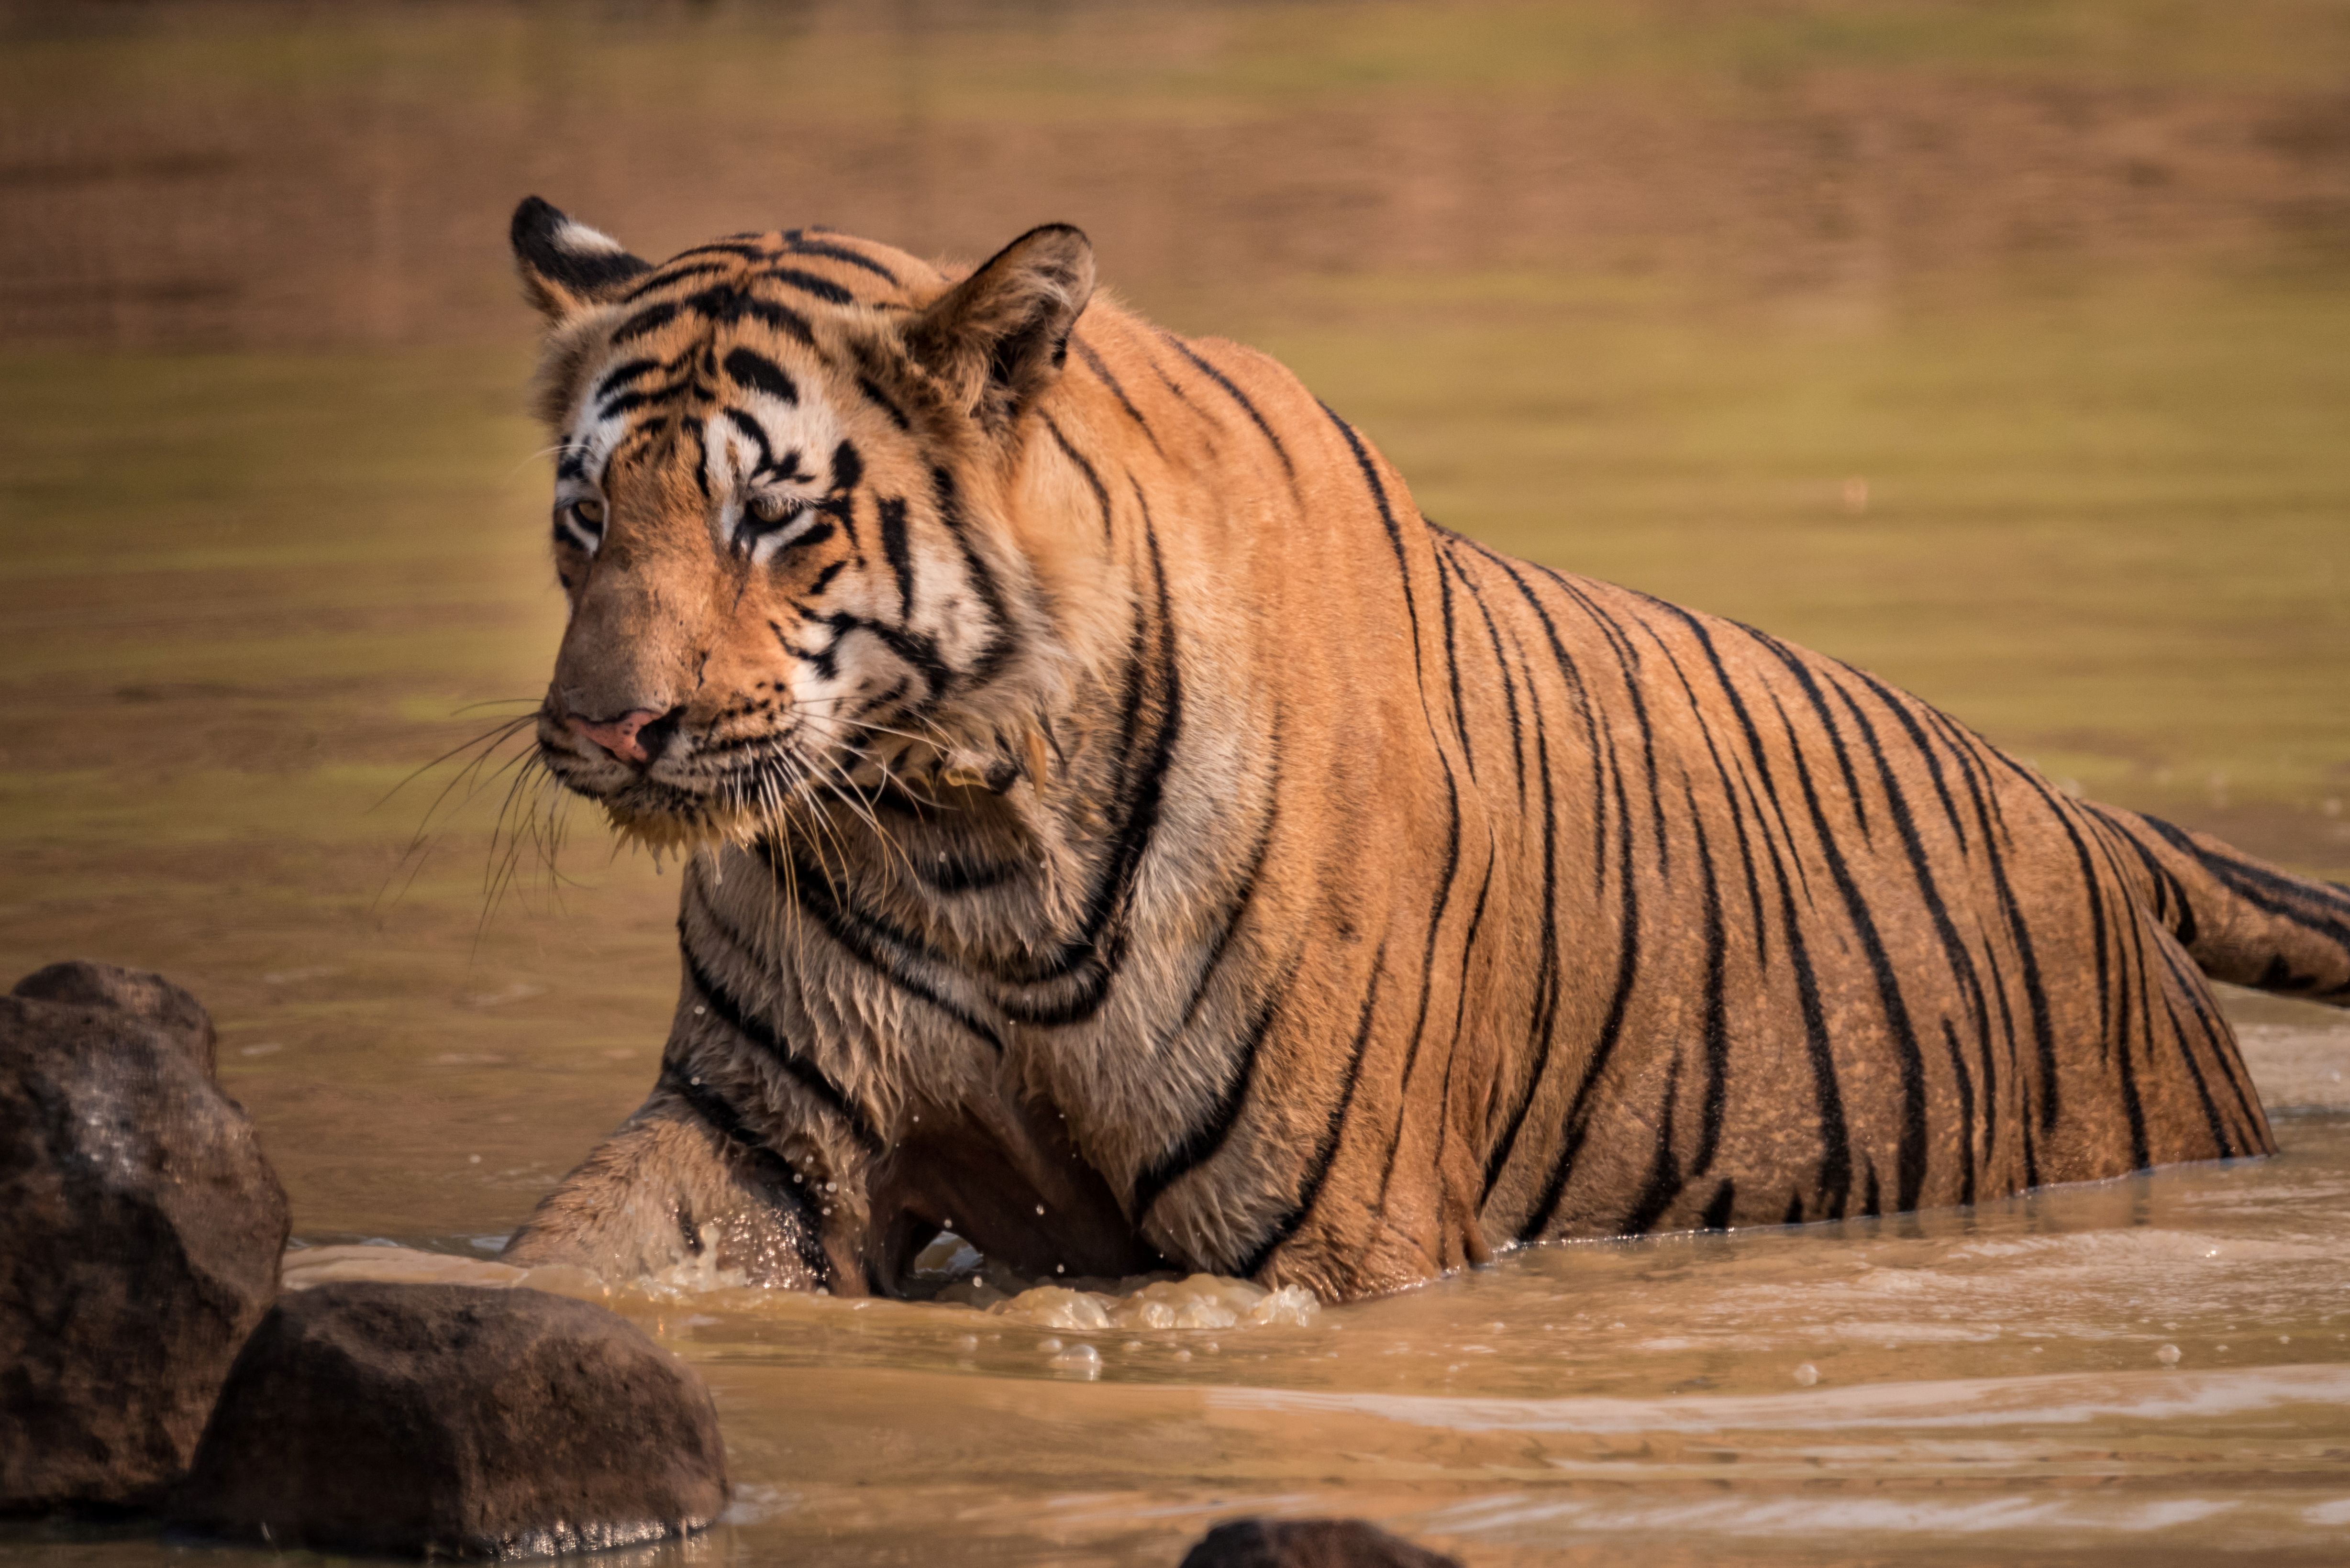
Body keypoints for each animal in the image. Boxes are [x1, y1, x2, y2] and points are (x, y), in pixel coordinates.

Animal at [494, 195, 2350, 1302]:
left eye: (768, 518)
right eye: (586, 516)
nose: (603, 727)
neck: (954, 823)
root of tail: (2097, 824)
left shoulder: (1330, 1234)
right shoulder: (758, 1129)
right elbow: (570, 1259)